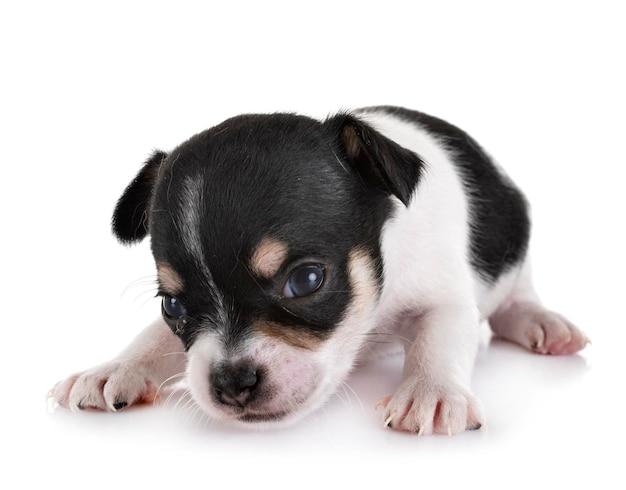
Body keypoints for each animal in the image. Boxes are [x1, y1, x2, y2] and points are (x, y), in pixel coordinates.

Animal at [48, 106, 584, 432]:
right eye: (173, 306)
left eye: (306, 280)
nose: (230, 382)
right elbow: (151, 337)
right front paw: (113, 367)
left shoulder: (445, 297)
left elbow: (439, 337)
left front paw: (429, 392)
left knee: (518, 295)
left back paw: (541, 321)